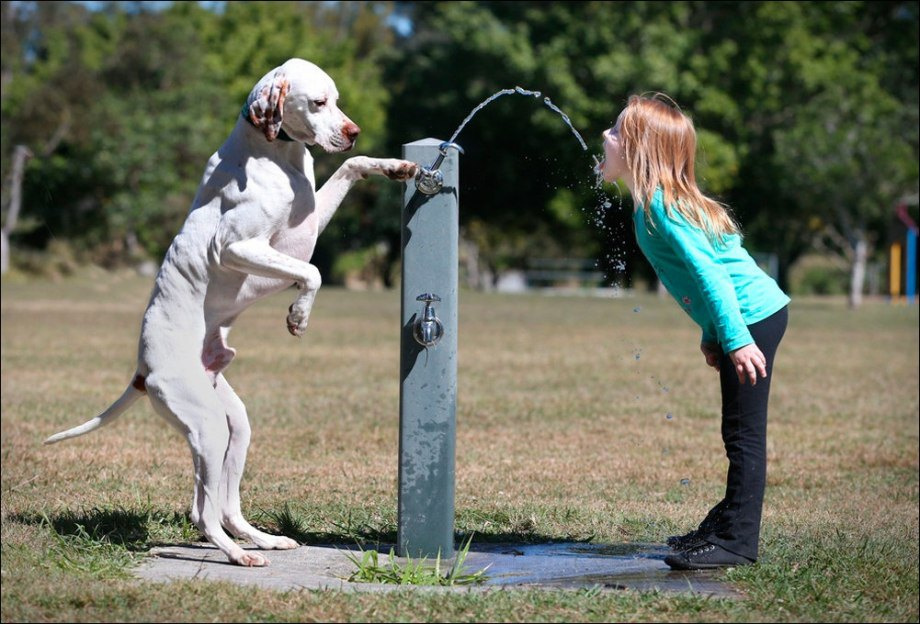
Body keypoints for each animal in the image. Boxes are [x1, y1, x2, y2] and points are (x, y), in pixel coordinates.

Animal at [44, 61, 416, 568]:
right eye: (318, 102)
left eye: (337, 100)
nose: (354, 132)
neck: (275, 154)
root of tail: (142, 370)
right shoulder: (240, 247)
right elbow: (313, 272)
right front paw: (298, 316)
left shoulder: (306, 227)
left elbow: (350, 168)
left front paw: (394, 167)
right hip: (207, 427)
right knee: (202, 512)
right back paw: (239, 555)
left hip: (234, 426)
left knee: (225, 505)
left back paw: (263, 540)